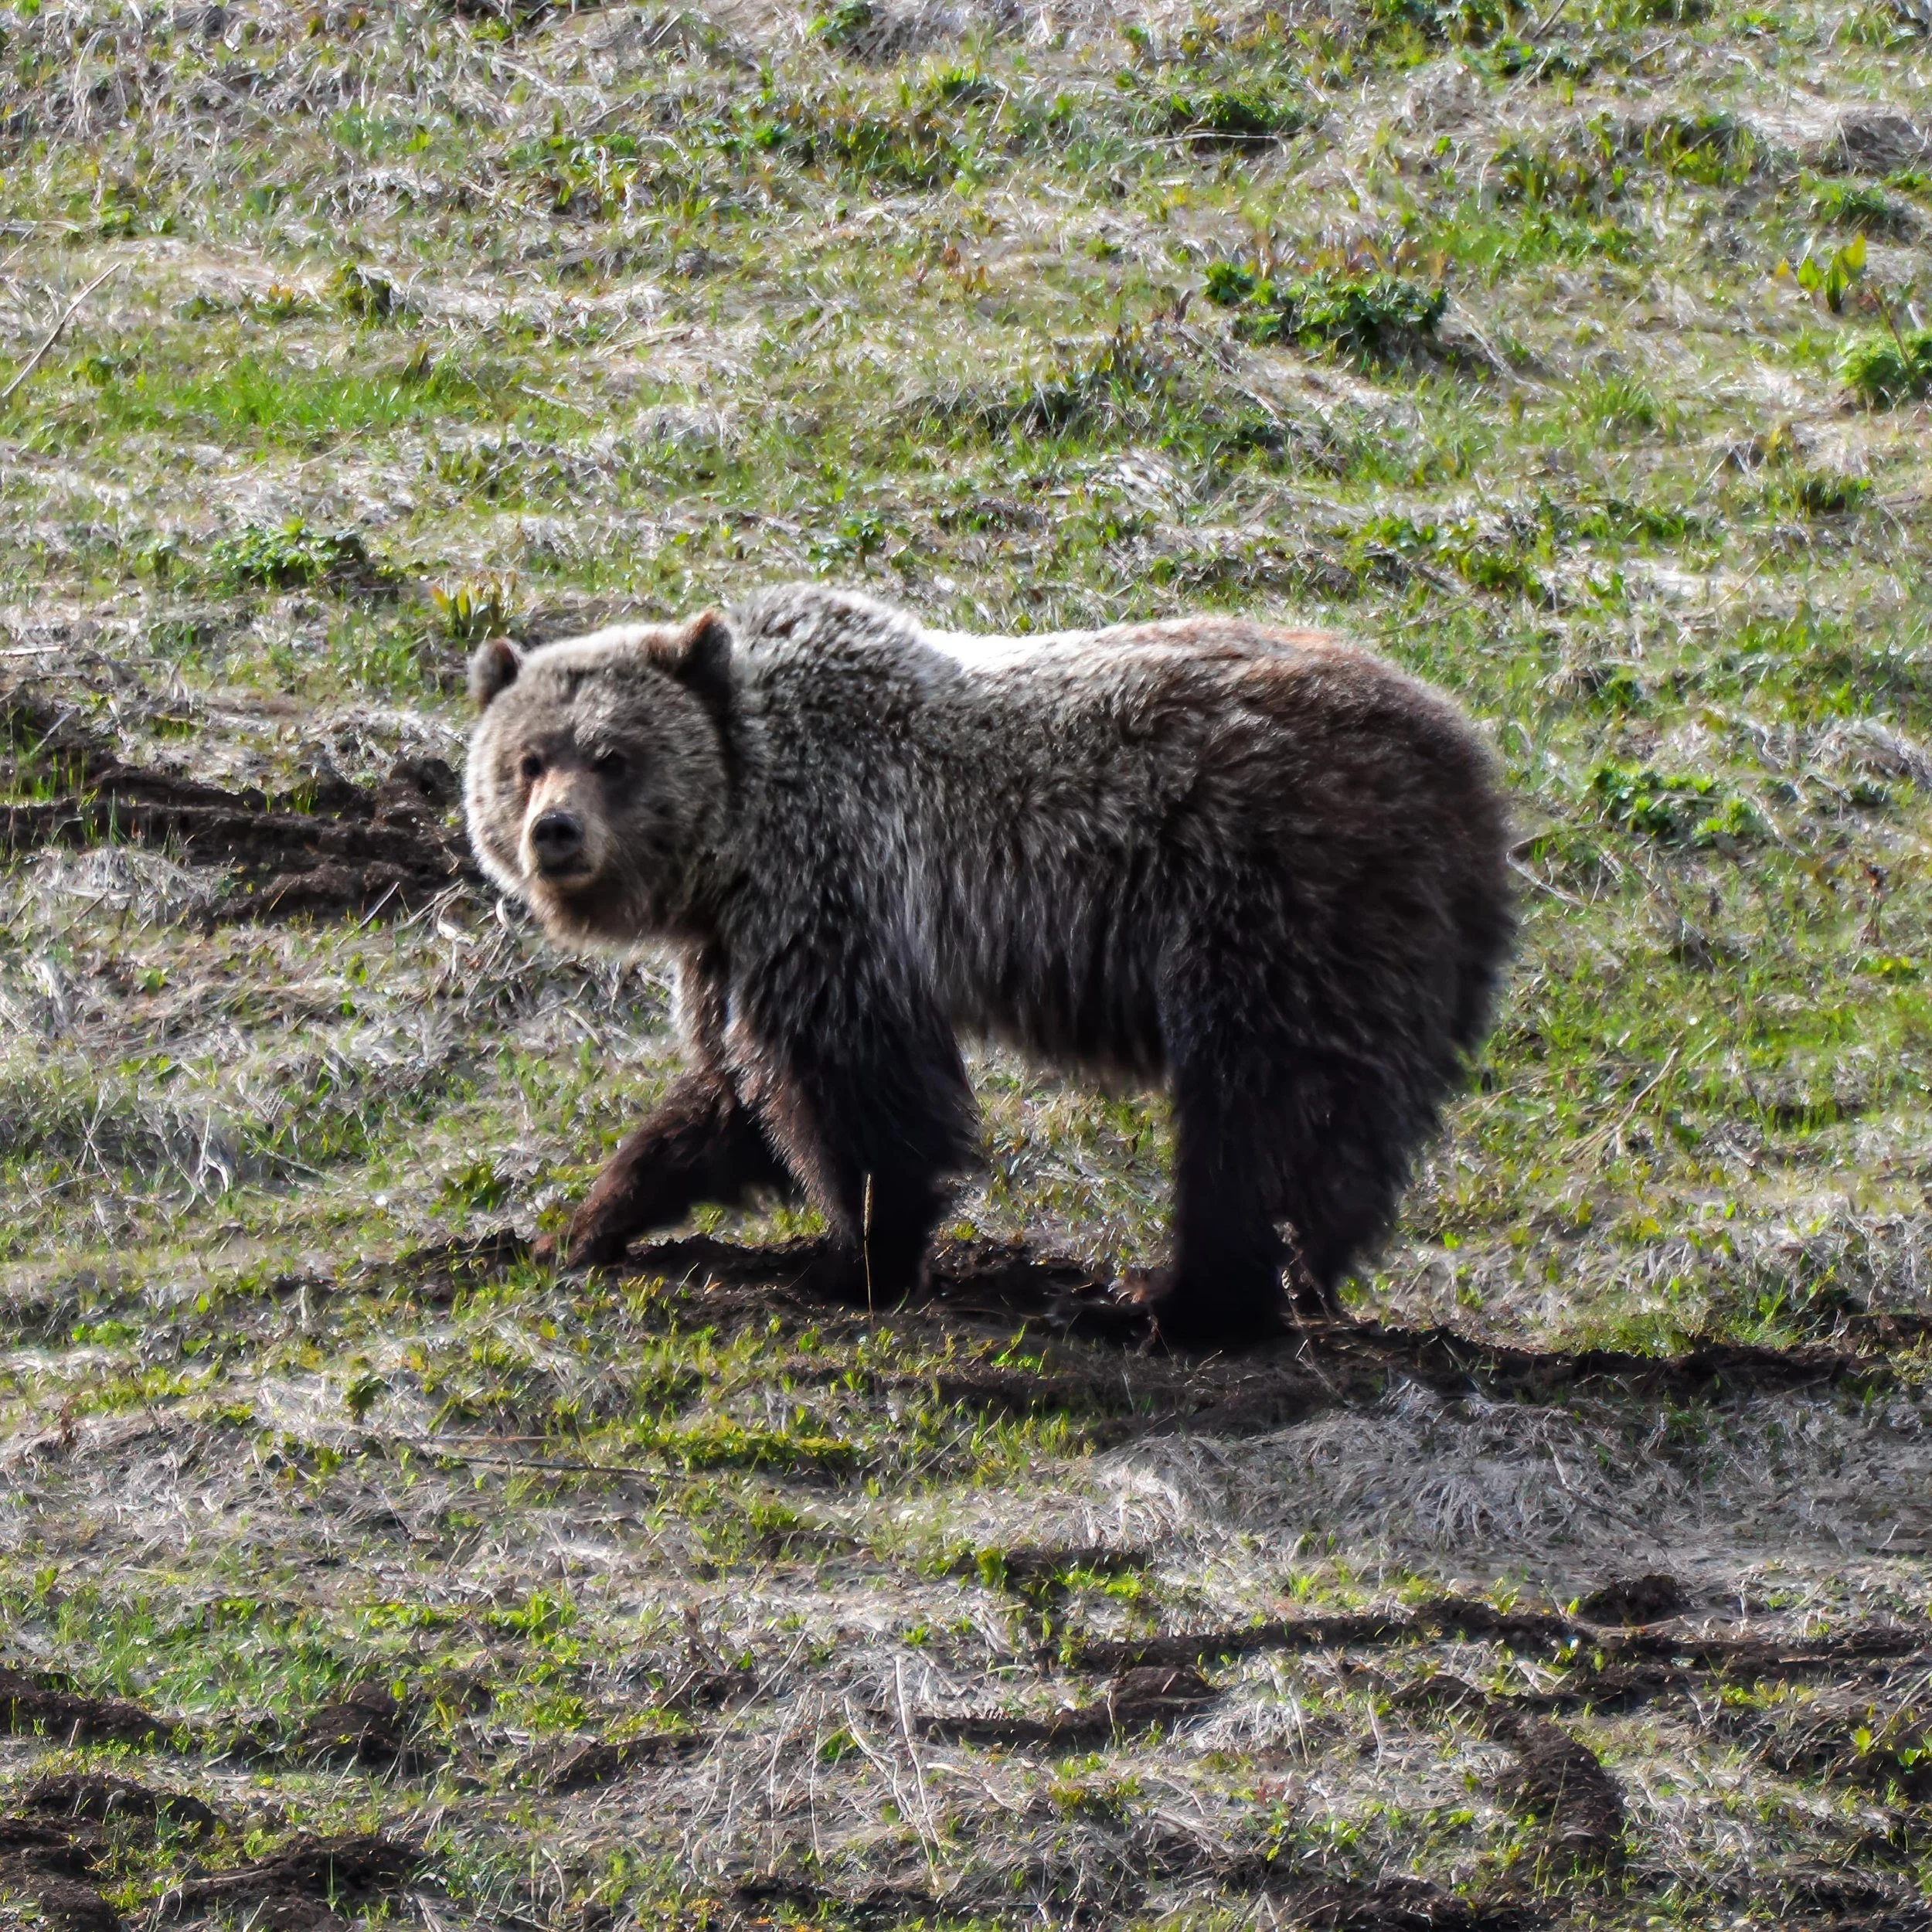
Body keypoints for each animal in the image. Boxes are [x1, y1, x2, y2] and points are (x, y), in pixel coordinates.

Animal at [464, 583, 1512, 1345]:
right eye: (527, 759)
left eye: (613, 756)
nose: (554, 832)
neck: (738, 833)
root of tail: (1467, 759)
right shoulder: (739, 942)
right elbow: (732, 1095)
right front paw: (587, 1220)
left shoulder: (839, 884)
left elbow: (858, 1089)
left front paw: (857, 1260)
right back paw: (1294, 1279)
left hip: (1274, 900)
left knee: (1260, 1109)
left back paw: (1176, 1298)